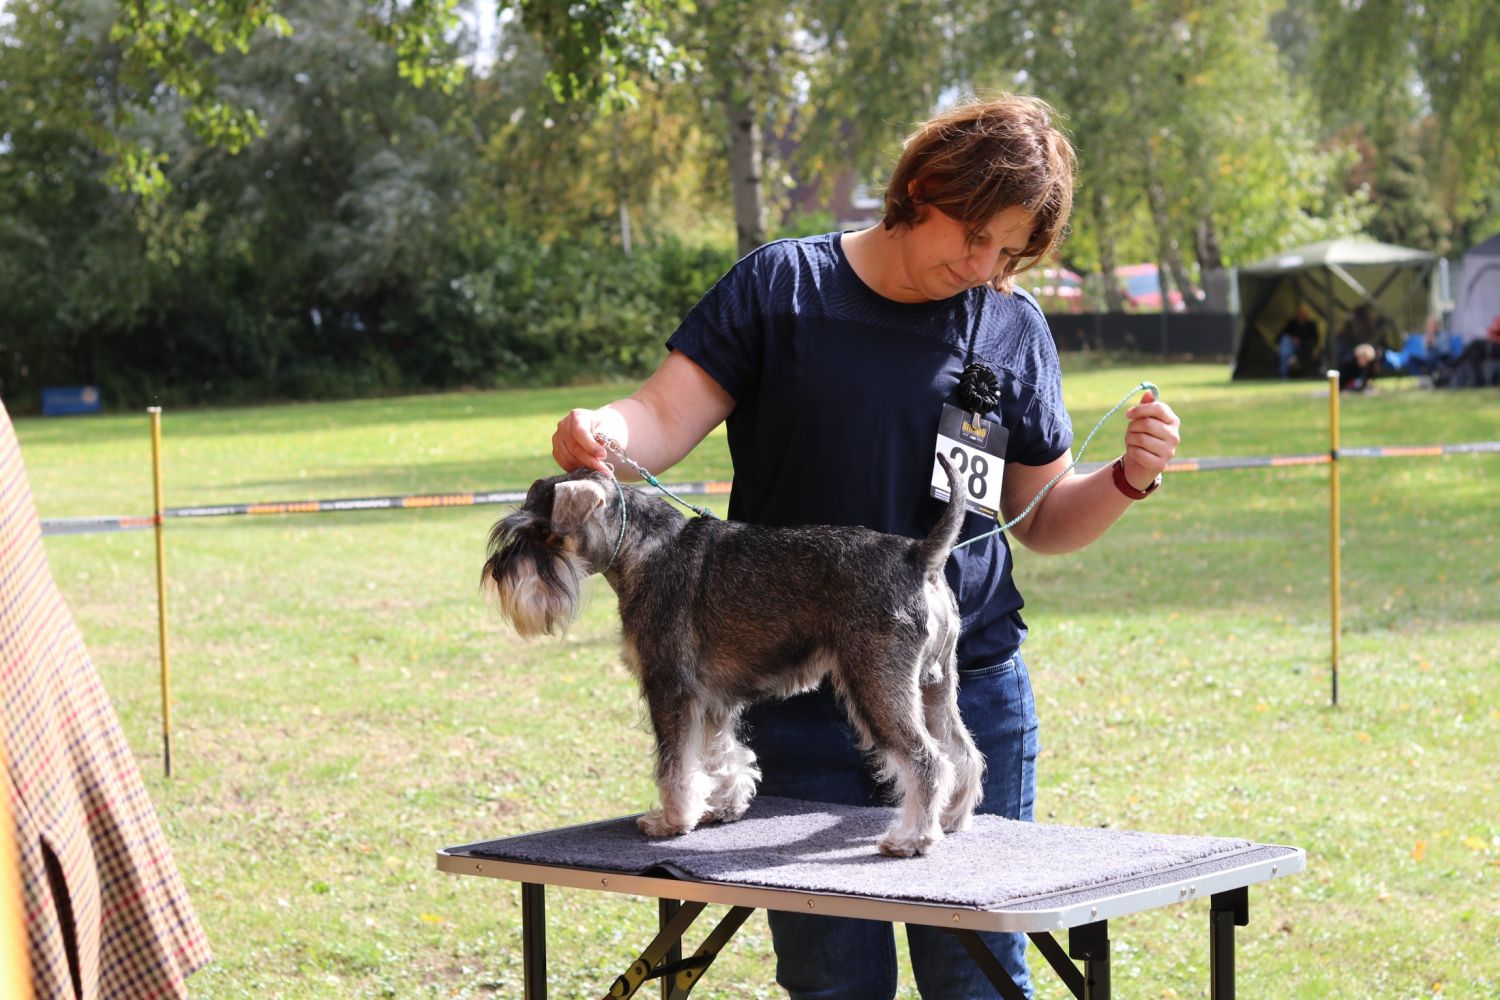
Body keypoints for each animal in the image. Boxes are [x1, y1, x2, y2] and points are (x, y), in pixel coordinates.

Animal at [481, 454, 983, 857]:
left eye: (541, 532)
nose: (498, 576)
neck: (642, 549)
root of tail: (917, 556)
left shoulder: (669, 687)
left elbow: (675, 764)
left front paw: (671, 820)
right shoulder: (711, 698)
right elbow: (720, 752)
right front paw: (723, 806)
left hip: (877, 686)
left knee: (926, 759)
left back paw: (912, 837)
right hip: (935, 685)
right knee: (963, 752)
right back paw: (952, 818)